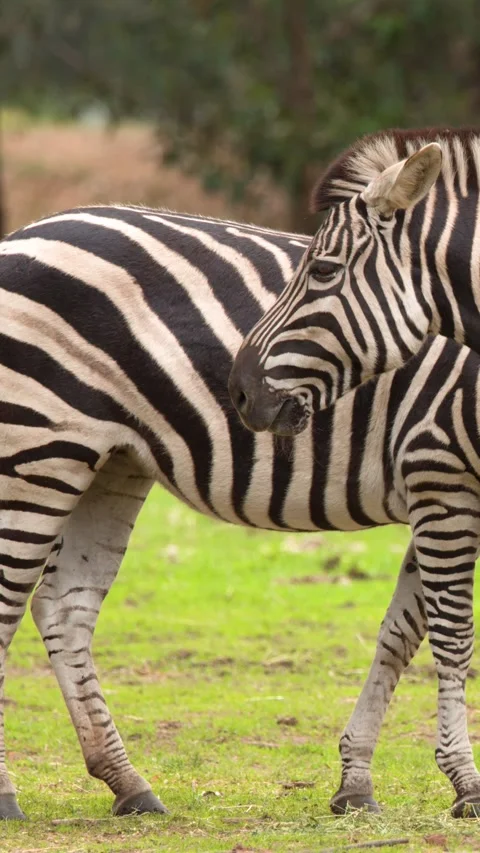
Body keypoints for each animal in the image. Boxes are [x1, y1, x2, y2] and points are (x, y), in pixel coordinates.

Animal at [0, 208, 479, 821]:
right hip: (40, 447)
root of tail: (26, 232)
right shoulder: (439, 472)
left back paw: (128, 783)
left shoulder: (443, 494)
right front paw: (466, 782)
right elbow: (451, 636)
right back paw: (9, 792)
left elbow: (399, 633)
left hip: (112, 460)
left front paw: (355, 781)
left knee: (66, 606)